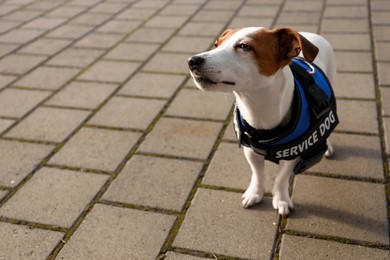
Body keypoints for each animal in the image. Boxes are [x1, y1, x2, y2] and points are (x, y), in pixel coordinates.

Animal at [187, 27, 336, 216]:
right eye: (216, 44)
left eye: (244, 46)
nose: (192, 61)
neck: (258, 111)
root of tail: (310, 34)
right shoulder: (251, 150)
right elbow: (257, 174)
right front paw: (255, 194)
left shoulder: (291, 154)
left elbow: (281, 178)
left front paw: (281, 199)